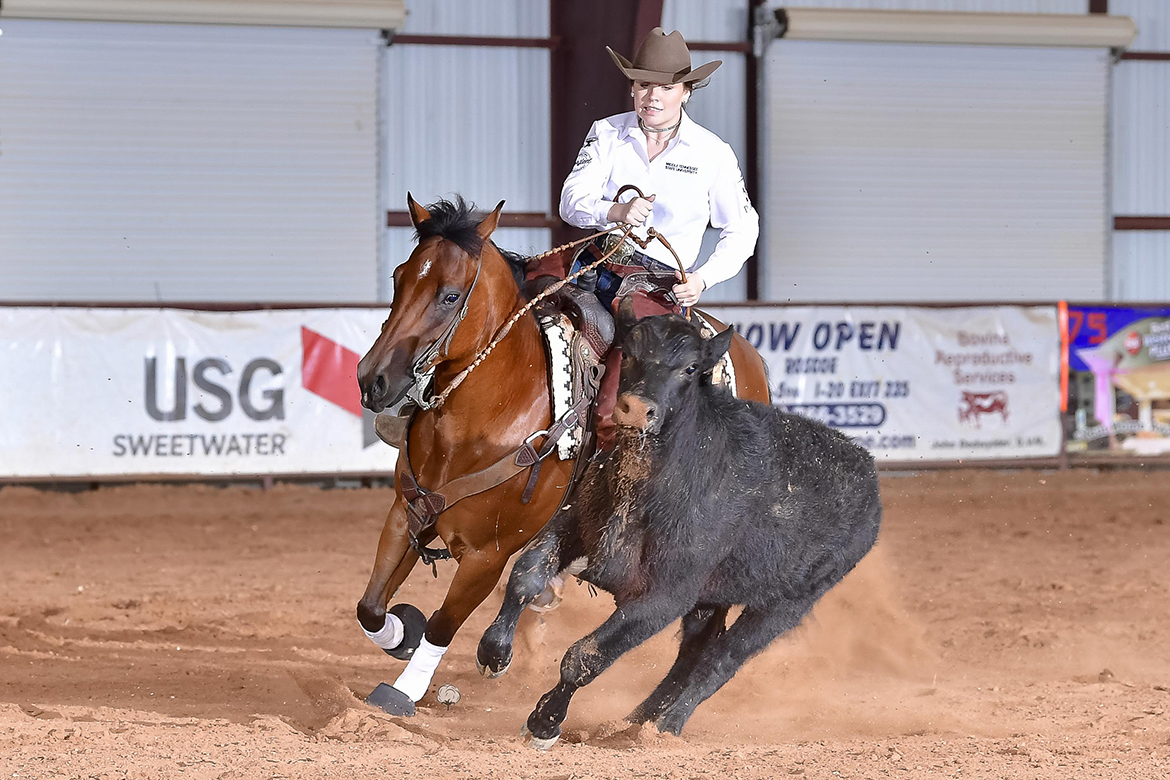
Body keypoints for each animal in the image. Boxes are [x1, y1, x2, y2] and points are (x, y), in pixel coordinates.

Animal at [353, 194, 771, 715]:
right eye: (398, 278)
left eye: (450, 296)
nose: (373, 379)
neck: (485, 415)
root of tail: (752, 360)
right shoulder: (406, 513)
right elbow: (370, 609)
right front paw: (402, 632)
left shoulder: (487, 555)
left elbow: (444, 623)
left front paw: (405, 689)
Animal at [476, 302, 882, 749]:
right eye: (629, 353)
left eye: (690, 367)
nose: (636, 409)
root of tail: (866, 470)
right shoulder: (575, 524)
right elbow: (526, 574)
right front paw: (494, 653)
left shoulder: (665, 597)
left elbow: (586, 656)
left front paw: (545, 722)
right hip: (711, 600)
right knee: (692, 653)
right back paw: (636, 722)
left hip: (786, 603)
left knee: (719, 662)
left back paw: (667, 726)